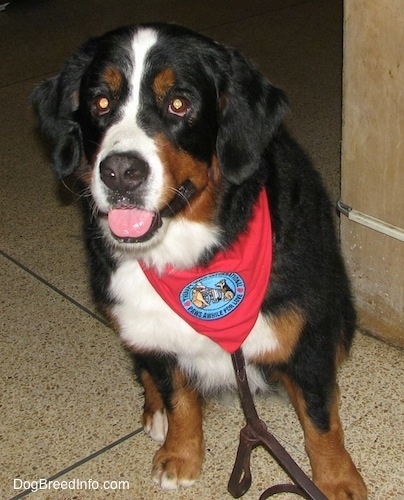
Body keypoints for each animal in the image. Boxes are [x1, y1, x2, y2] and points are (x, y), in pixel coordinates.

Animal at [31, 23, 366, 500]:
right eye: (100, 103)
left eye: (179, 104)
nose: (120, 172)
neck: (192, 257)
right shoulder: (153, 334)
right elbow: (179, 396)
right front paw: (181, 455)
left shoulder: (310, 336)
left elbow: (321, 421)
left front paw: (338, 482)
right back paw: (155, 414)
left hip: (341, 316)